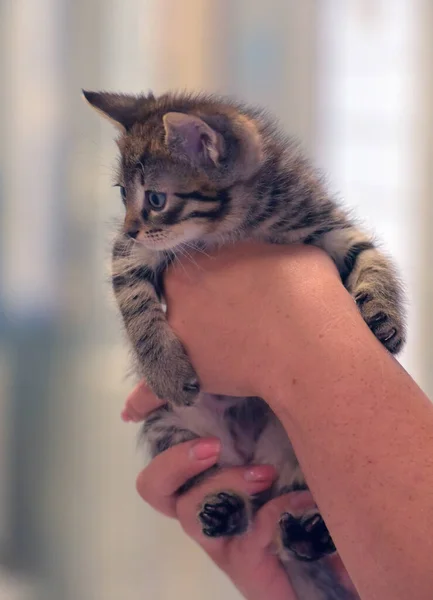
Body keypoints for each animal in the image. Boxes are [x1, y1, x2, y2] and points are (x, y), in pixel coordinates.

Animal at [85, 89, 404, 600]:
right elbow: (135, 303)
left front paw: (386, 318)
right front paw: (165, 369)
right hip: (177, 431)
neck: (232, 225)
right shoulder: (130, 255)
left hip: (300, 452)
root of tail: (252, 457)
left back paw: (308, 536)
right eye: (122, 194)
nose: (130, 226)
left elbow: (372, 260)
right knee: (225, 486)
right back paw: (227, 509)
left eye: (155, 198)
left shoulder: (325, 223)